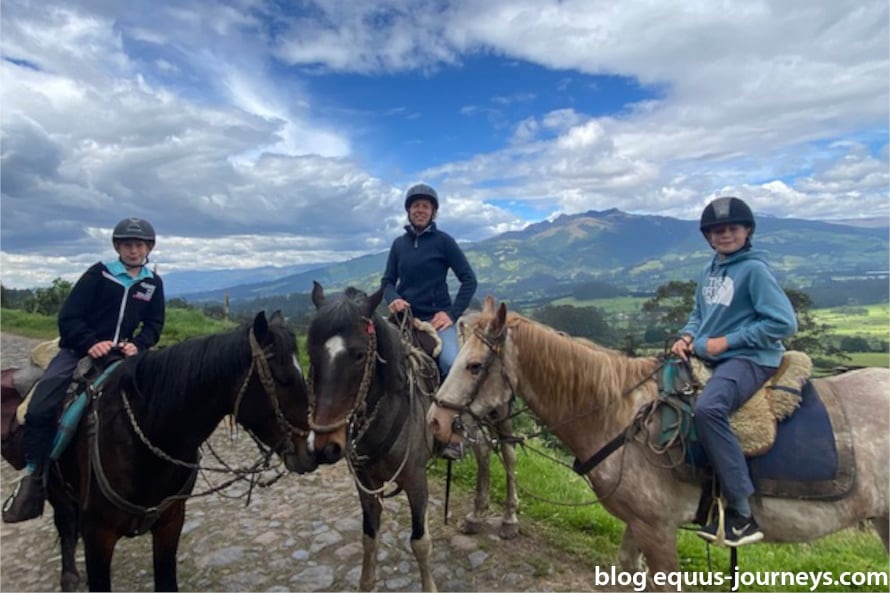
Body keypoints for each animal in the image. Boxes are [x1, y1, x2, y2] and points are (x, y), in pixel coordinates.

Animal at [12, 312, 316, 588]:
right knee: (65, 527)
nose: (313, 452)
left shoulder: (171, 522)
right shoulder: (98, 534)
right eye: (284, 379)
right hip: (58, 491)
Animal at [306, 284, 438, 588]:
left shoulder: (416, 480)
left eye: (359, 354)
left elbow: (420, 542)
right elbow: (369, 536)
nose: (325, 447)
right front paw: (366, 583)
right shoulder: (366, 483)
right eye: (310, 351)